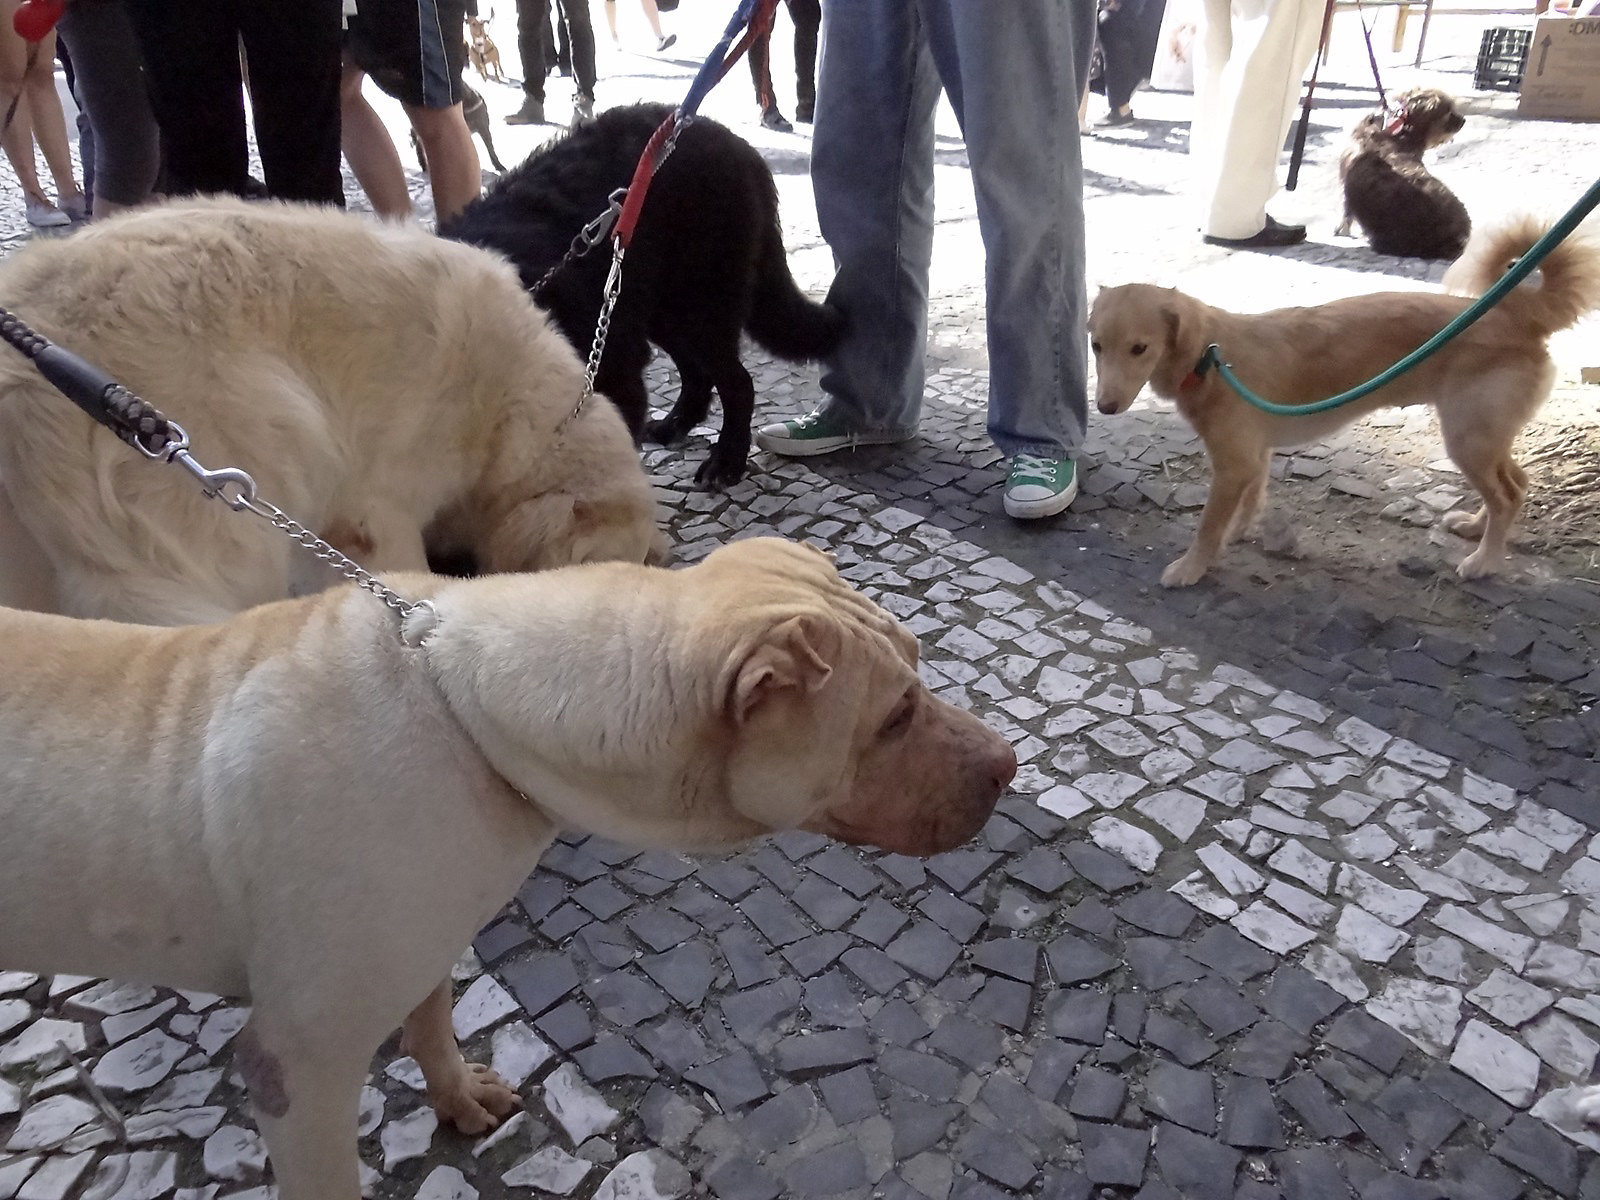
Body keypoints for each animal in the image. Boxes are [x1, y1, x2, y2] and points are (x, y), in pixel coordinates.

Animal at [0, 544, 1017, 1200]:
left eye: (920, 668)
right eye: (893, 718)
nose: (1011, 766)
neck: (464, 706)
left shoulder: (428, 937)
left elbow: (431, 1017)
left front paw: (455, 1098)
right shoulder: (300, 1067)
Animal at [435, 102, 838, 489]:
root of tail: (739, 146)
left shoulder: (613, 375)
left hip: (698, 309)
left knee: (738, 382)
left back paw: (726, 462)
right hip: (659, 311)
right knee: (697, 373)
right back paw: (675, 424)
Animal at [1088, 219, 1600, 592]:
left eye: (1140, 349)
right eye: (1095, 345)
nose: (1106, 407)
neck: (1210, 356)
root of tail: (1516, 314)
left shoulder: (1233, 465)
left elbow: (1207, 526)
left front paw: (1193, 567)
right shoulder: (1254, 457)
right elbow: (1252, 499)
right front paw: (1240, 530)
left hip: (1467, 439)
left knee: (1507, 496)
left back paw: (1486, 561)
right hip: (1485, 438)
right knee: (1515, 485)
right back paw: (1477, 528)